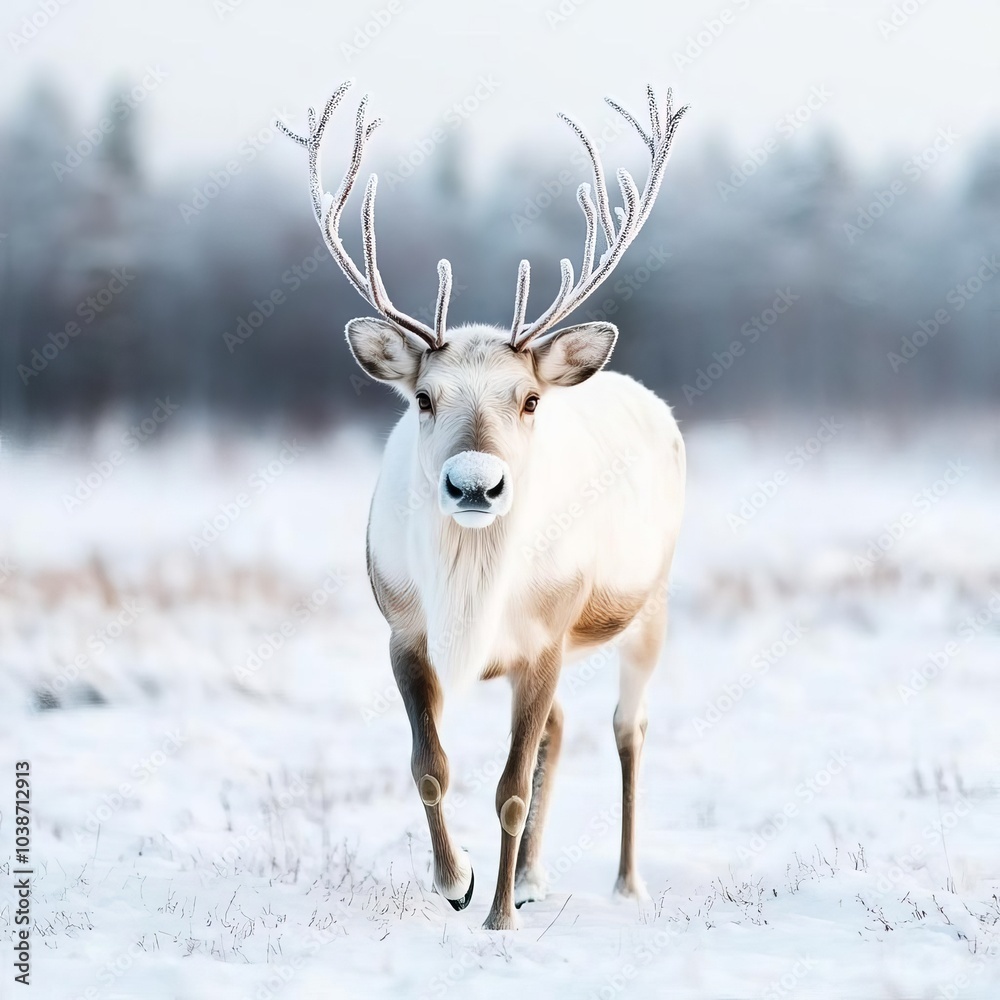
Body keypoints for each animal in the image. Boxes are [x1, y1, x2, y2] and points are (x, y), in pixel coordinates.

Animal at [277, 79, 687, 931]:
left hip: (652, 602)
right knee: (563, 728)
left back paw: (624, 883)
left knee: (626, 727)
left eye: (528, 399)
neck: (471, 594)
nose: (475, 484)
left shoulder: (548, 637)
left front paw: (497, 917)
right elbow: (430, 764)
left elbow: (510, 786)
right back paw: (529, 876)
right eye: (424, 398)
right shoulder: (403, 630)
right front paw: (458, 881)